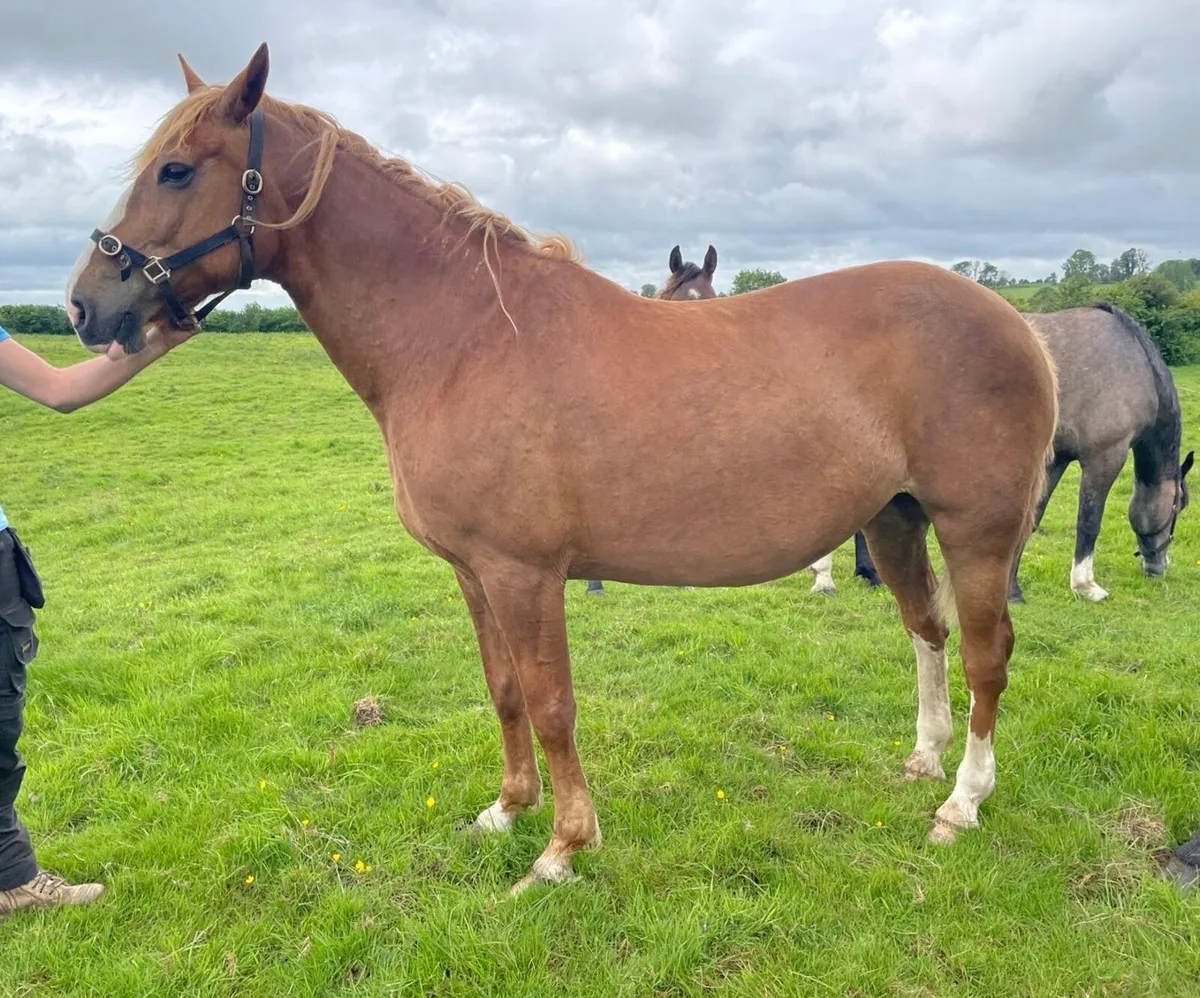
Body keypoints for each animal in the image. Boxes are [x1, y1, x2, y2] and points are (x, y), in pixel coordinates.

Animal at [840, 304, 1192, 602]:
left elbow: (1032, 519)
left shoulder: (1055, 459)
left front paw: (1012, 589)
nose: (1158, 567)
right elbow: (1089, 521)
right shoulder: (1105, 455)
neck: (1131, 360)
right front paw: (1086, 586)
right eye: (1180, 504)